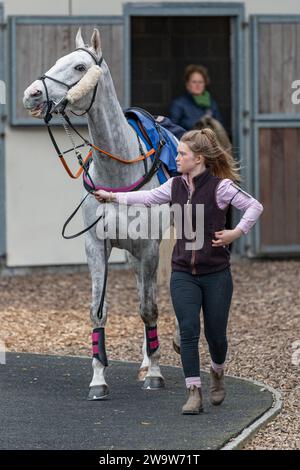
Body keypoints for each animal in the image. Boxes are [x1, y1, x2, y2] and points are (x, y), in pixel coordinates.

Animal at [23, 27, 175, 398]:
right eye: (58, 59)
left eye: (79, 66)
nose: (32, 93)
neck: (118, 172)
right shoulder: (96, 245)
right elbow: (98, 311)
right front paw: (98, 378)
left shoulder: (149, 248)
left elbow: (149, 308)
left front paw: (156, 375)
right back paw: (145, 358)